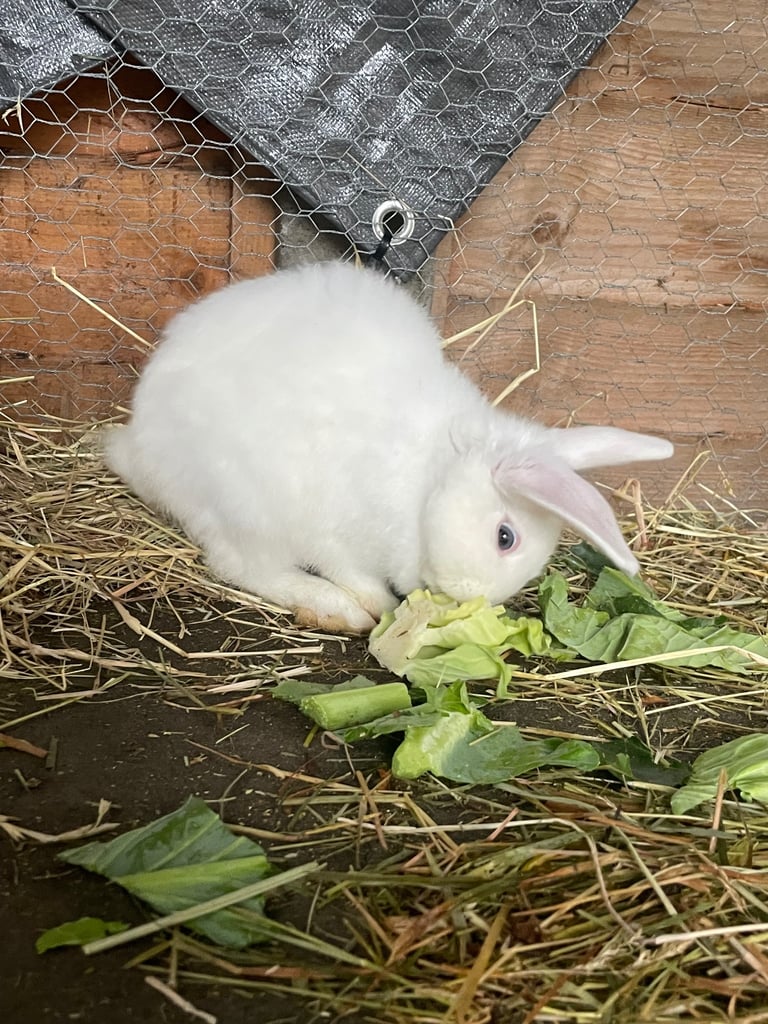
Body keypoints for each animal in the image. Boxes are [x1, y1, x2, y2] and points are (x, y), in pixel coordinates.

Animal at [105, 259, 673, 634]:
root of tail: (139, 449)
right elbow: (346, 569)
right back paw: (336, 609)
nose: (468, 599)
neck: (427, 478)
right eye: (505, 537)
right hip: (246, 503)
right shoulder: (331, 524)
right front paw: (377, 604)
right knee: (244, 567)